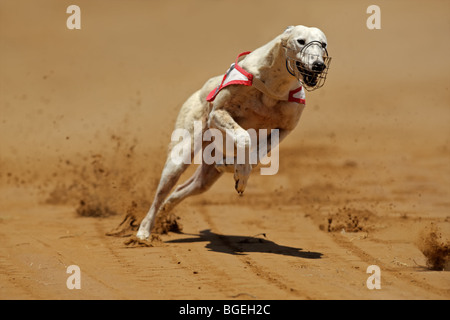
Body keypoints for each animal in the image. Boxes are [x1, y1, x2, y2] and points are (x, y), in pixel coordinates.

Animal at [137, 25, 330, 240]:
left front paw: (238, 171)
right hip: (180, 156)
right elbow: (244, 139)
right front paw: (239, 172)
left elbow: (256, 154)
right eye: (301, 41)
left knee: (187, 187)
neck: (274, 86)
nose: (319, 65)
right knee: (160, 194)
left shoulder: (284, 129)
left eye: (323, 44)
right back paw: (144, 231)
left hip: (207, 175)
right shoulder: (218, 113)